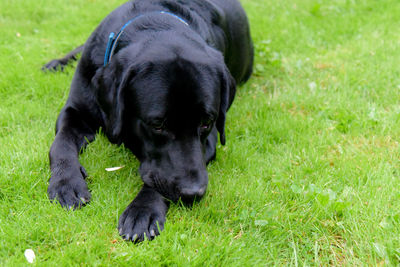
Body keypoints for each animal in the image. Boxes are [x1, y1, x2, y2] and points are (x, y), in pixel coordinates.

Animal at [45, 0, 253, 243]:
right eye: (157, 125)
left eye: (206, 122)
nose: (194, 193)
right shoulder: (75, 110)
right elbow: (60, 145)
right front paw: (66, 182)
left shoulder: (209, 141)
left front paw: (142, 210)